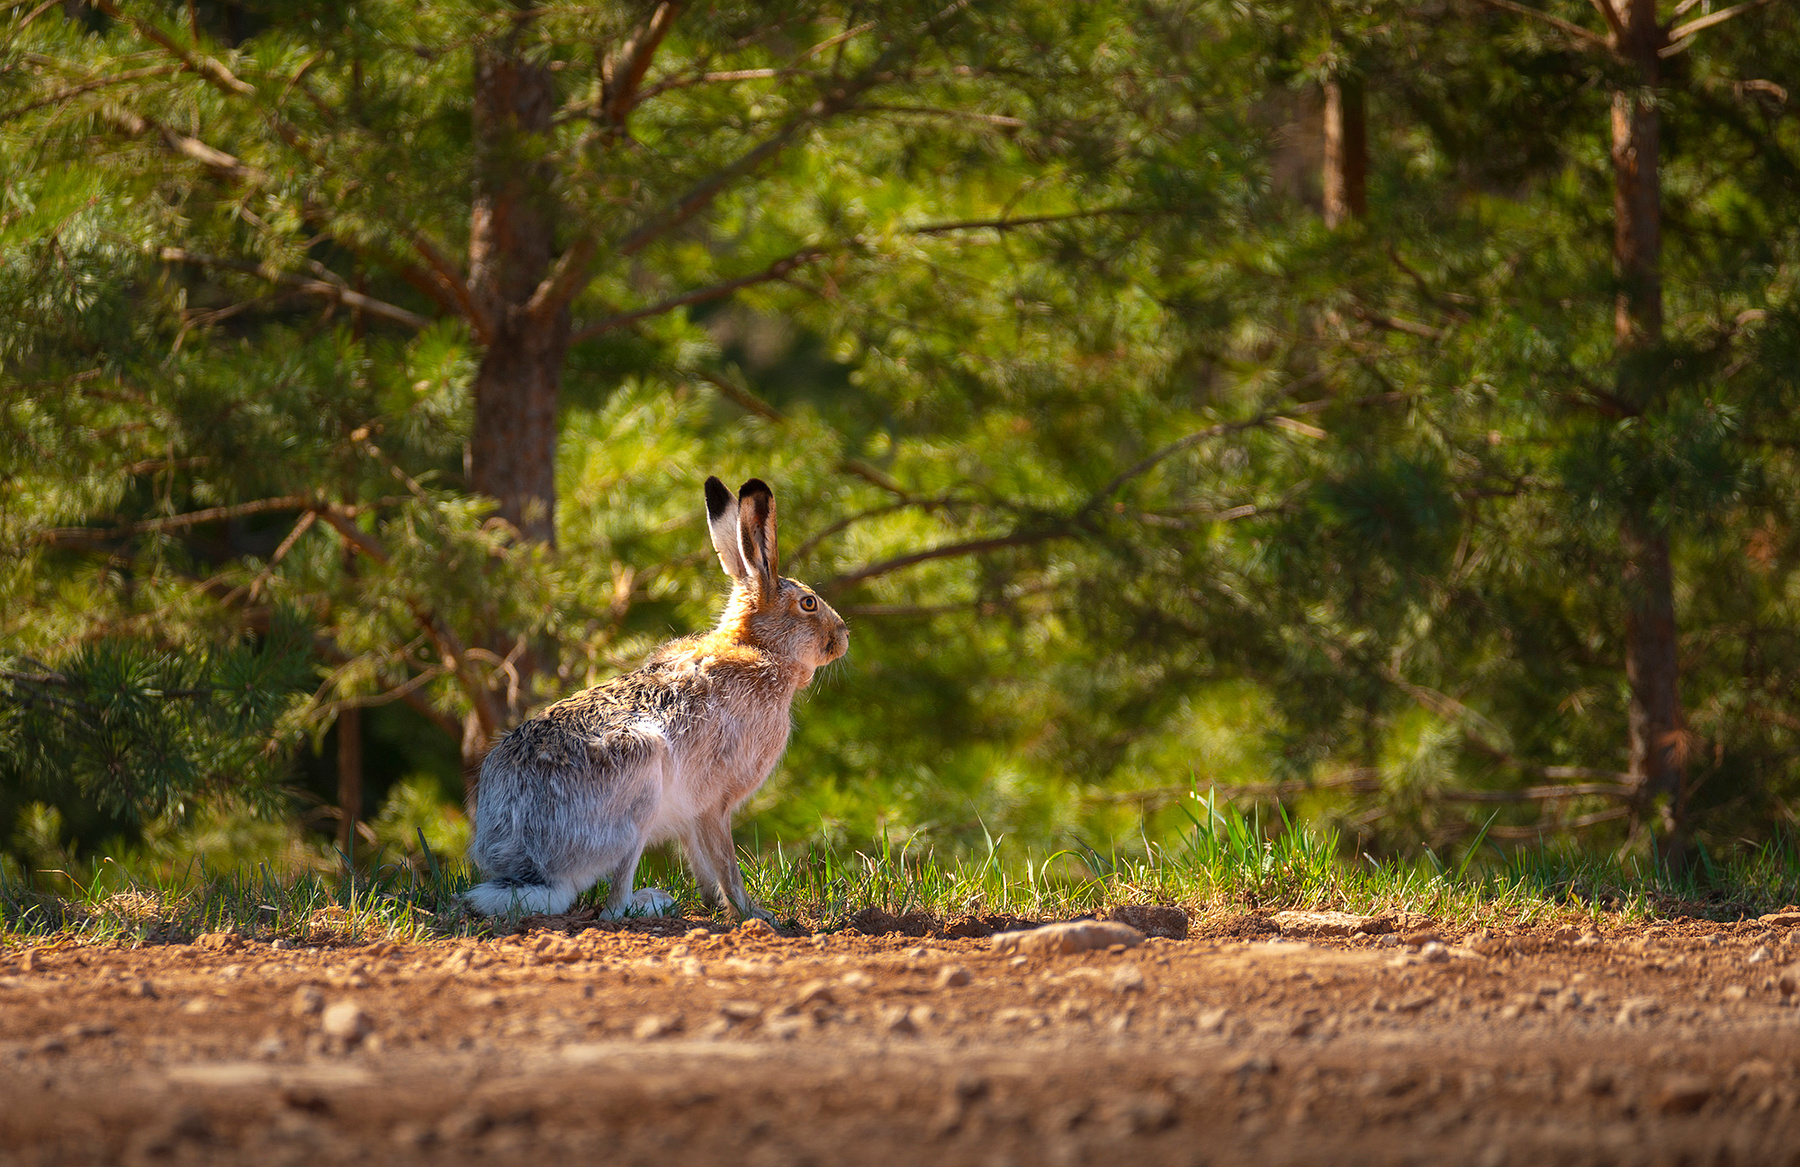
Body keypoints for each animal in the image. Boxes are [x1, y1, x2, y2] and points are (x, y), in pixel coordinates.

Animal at [464, 476, 849, 921]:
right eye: (809, 603)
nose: (843, 636)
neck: (761, 648)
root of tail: (535, 869)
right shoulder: (714, 803)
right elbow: (726, 862)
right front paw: (755, 915)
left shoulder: (692, 817)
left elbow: (703, 864)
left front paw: (717, 906)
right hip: (640, 790)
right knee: (613, 905)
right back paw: (650, 903)